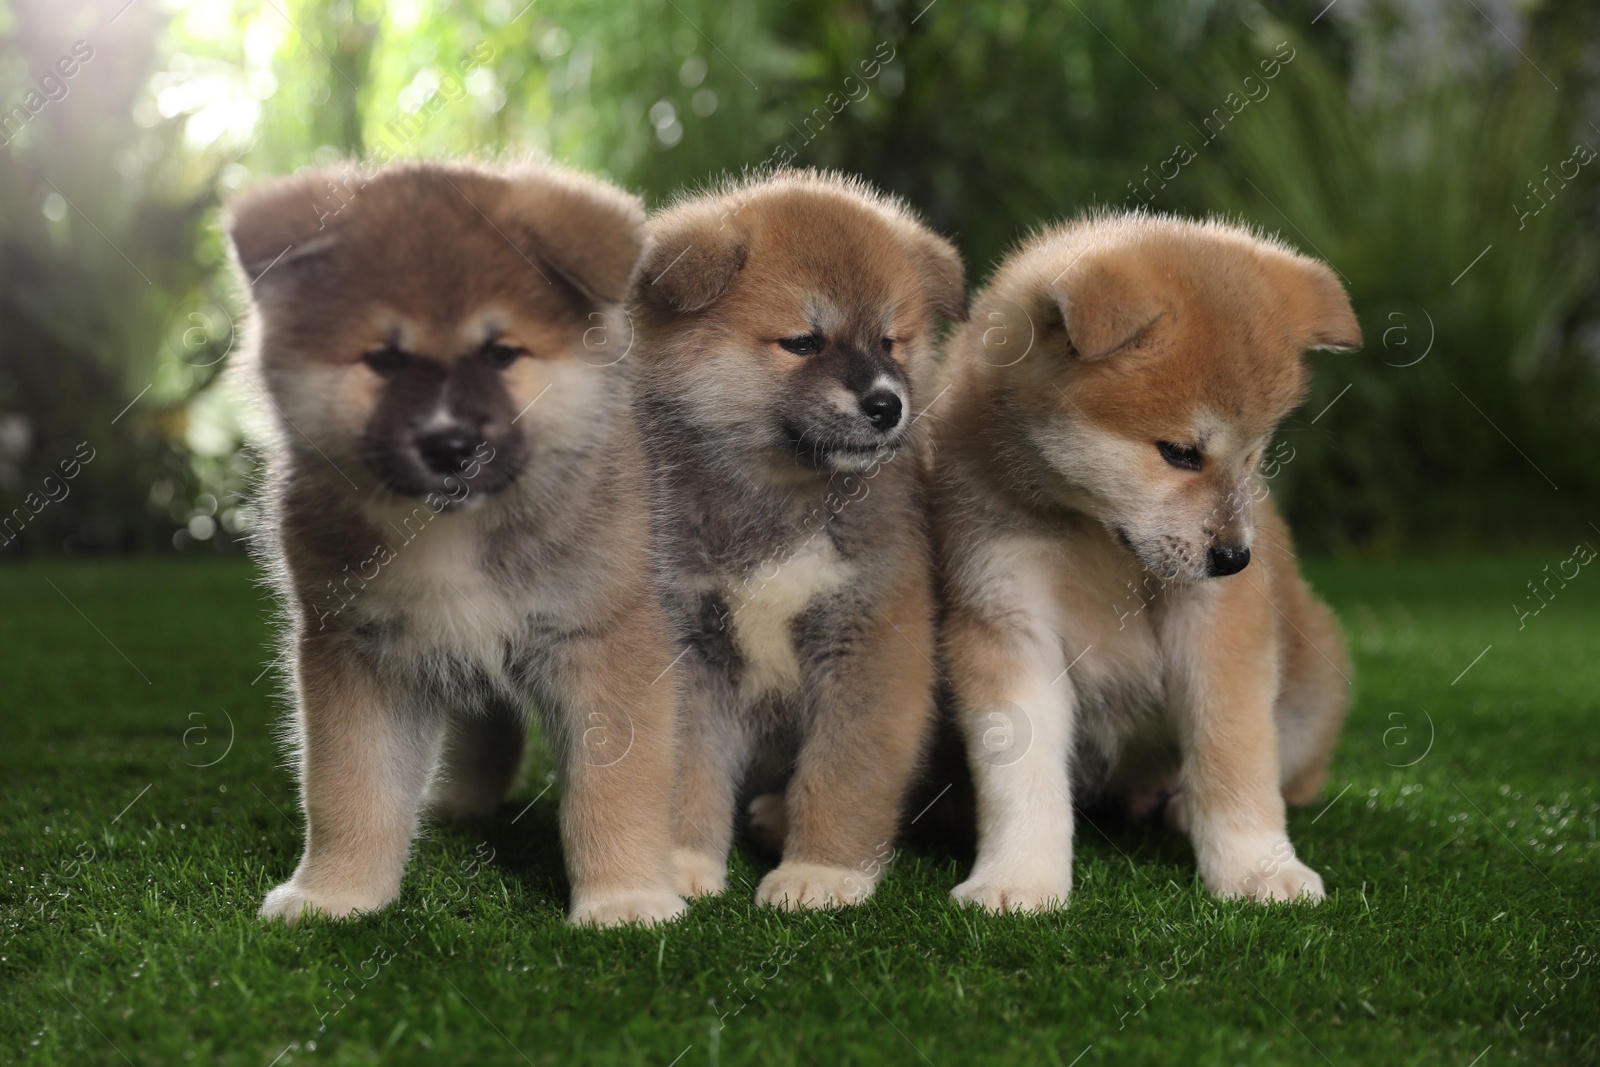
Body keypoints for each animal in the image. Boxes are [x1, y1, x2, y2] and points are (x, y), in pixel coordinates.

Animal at [224, 156, 681, 927]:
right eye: (384, 359)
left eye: (500, 354)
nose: (449, 445)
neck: (452, 528)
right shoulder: (356, 648)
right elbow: (351, 791)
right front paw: (337, 894)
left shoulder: (602, 639)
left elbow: (613, 791)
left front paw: (626, 899)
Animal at [633, 173, 960, 908]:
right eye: (804, 343)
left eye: (891, 342)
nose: (886, 404)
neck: (784, 500)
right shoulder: (689, 646)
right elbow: (687, 766)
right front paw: (682, 861)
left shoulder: (870, 640)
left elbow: (843, 773)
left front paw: (823, 870)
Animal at [934, 212, 1363, 915]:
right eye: (1180, 453)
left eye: (1254, 456)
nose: (1234, 558)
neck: (1092, 536)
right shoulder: (1004, 615)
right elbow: (1019, 776)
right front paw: (1018, 878)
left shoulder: (1217, 624)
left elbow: (1234, 754)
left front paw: (1254, 868)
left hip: (1314, 681)